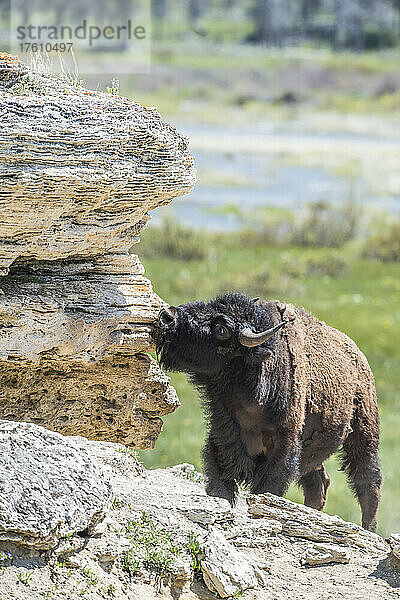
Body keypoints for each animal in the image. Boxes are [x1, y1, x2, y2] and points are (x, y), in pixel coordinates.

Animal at [152, 292, 382, 532]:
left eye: (222, 329)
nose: (167, 316)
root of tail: (359, 358)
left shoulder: (282, 450)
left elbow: (265, 488)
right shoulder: (221, 441)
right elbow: (221, 488)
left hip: (364, 433)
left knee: (367, 479)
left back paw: (369, 527)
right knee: (318, 481)